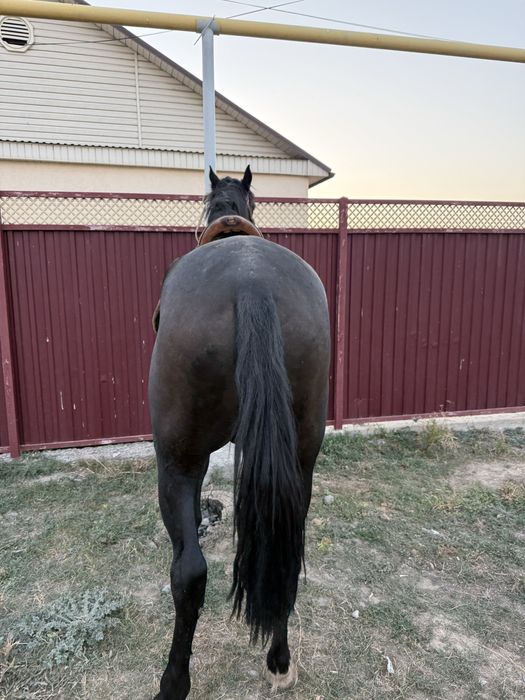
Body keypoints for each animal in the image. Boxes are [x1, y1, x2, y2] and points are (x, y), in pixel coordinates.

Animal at [148, 166, 330, 699]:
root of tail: (251, 284)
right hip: (301, 458)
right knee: (287, 557)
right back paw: (278, 660)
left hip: (177, 459)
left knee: (189, 574)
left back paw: (173, 682)